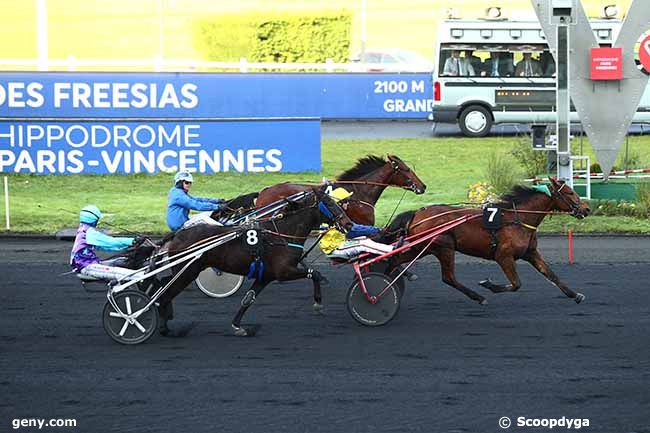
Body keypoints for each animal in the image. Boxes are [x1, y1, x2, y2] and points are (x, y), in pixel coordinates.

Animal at [149, 187, 352, 336]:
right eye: (329, 203)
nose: (349, 223)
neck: (282, 234)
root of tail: (178, 234)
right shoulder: (284, 271)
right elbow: (314, 273)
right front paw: (318, 303)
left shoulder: (265, 276)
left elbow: (248, 299)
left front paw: (237, 326)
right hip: (187, 272)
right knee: (164, 295)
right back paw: (164, 328)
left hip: (183, 271)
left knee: (162, 286)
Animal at [378, 177, 588, 306]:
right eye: (570, 192)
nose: (586, 209)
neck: (517, 219)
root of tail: (417, 213)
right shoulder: (503, 256)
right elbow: (516, 284)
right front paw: (488, 284)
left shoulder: (530, 253)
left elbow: (551, 274)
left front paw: (575, 294)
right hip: (443, 247)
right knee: (448, 277)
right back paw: (479, 297)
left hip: (423, 248)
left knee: (395, 260)